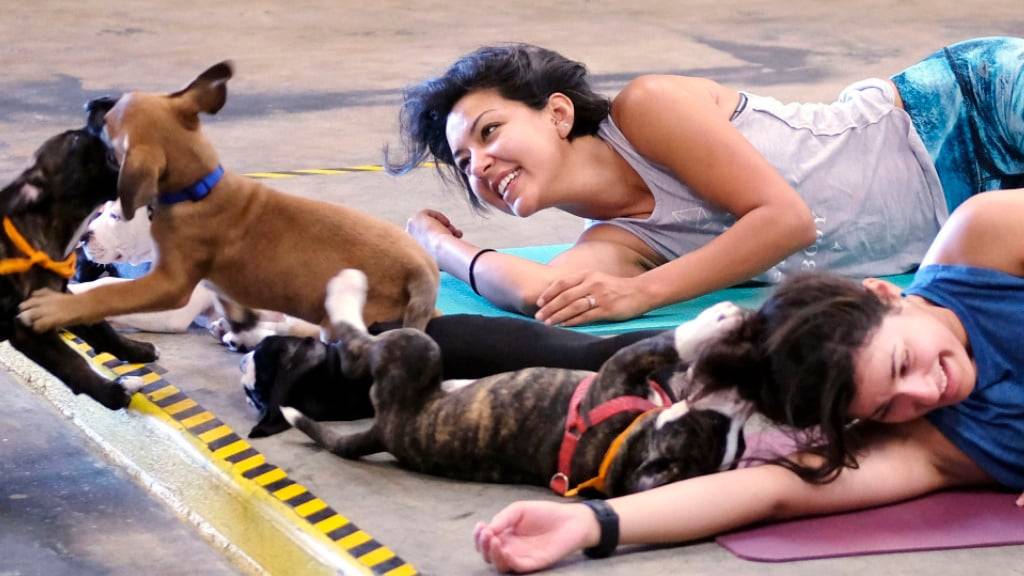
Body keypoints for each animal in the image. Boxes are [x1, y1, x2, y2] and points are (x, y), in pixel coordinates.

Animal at [18, 62, 438, 332]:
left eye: (116, 216)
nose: (85, 239)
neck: (196, 190)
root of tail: (424, 269)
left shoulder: (171, 289)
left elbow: (106, 292)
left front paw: (60, 305)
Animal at [280, 268, 753, 494]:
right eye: (715, 425)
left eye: (738, 438)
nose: (745, 399)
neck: (627, 445)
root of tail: (382, 430)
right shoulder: (624, 366)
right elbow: (671, 342)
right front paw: (718, 324)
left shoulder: (620, 368)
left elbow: (671, 341)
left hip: (416, 350)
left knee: (357, 349)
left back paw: (346, 291)